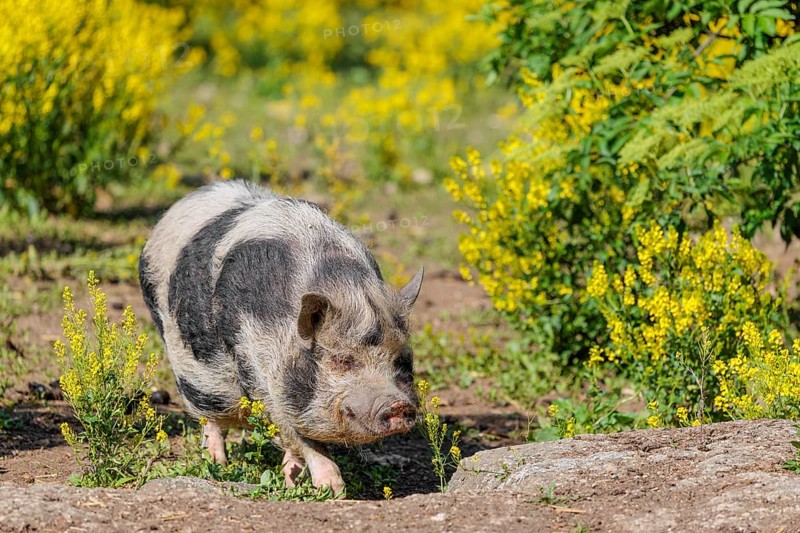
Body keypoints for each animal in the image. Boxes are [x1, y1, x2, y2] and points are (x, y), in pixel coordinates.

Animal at [138, 180, 423, 493]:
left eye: (400, 360)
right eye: (342, 360)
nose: (397, 404)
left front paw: (293, 481)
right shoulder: (261, 371)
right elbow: (298, 436)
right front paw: (333, 490)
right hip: (190, 365)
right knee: (211, 418)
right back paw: (217, 465)